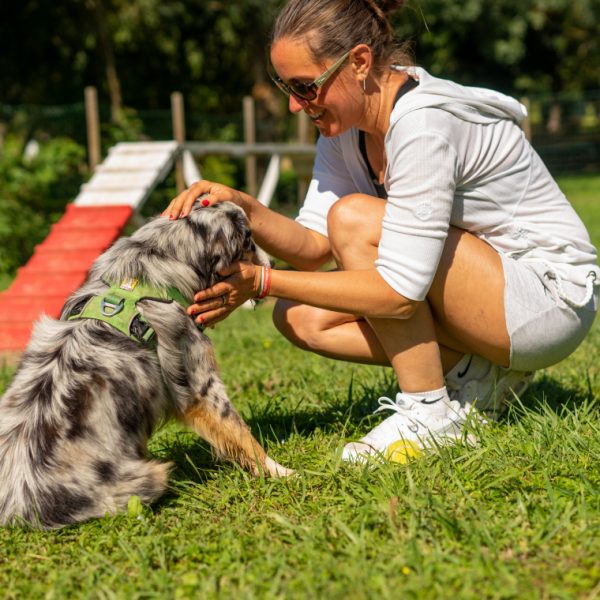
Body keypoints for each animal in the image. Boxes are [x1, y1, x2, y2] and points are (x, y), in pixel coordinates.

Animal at [0, 203, 290, 528]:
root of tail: (19, 507)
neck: (163, 251)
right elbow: (241, 434)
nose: (273, 264)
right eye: (249, 239)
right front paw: (281, 472)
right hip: (151, 476)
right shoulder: (202, 388)